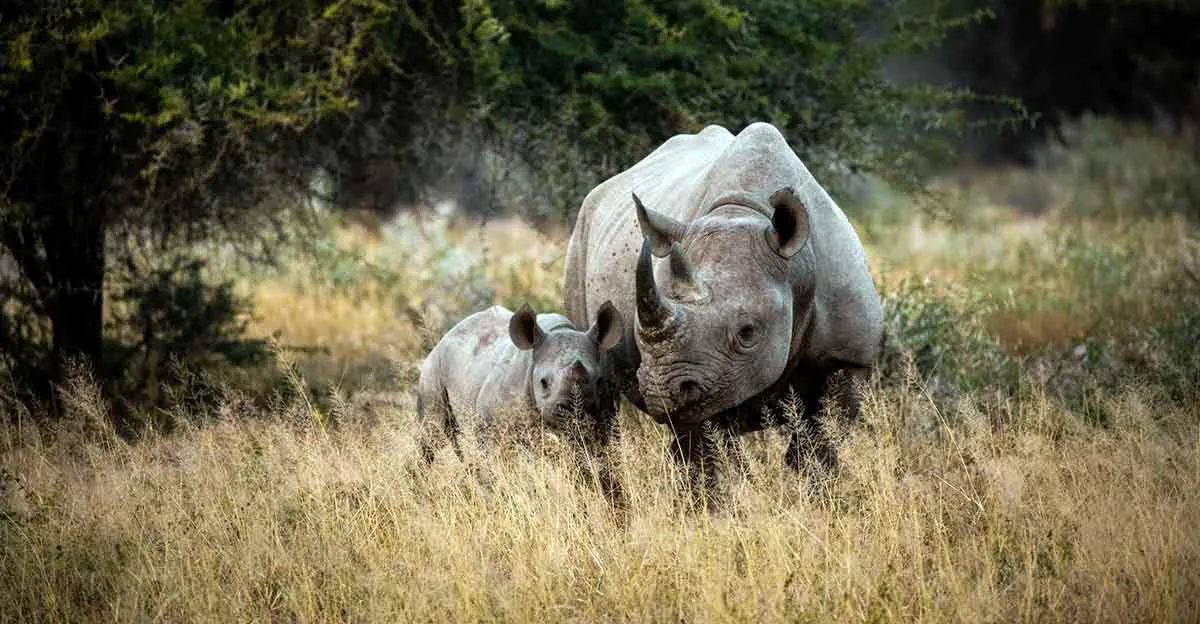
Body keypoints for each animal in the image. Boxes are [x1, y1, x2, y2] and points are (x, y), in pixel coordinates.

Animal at [415, 300, 624, 465]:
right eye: (543, 383)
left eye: (599, 381)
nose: (573, 411)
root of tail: (447, 334)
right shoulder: (490, 425)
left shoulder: (604, 419)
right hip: (432, 369)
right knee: (432, 433)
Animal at [561, 119, 883, 484]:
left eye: (748, 332)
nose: (662, 389)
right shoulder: (706, 376)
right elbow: (711, 455)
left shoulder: (848, 358)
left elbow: (818, 448)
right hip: (581, 237)